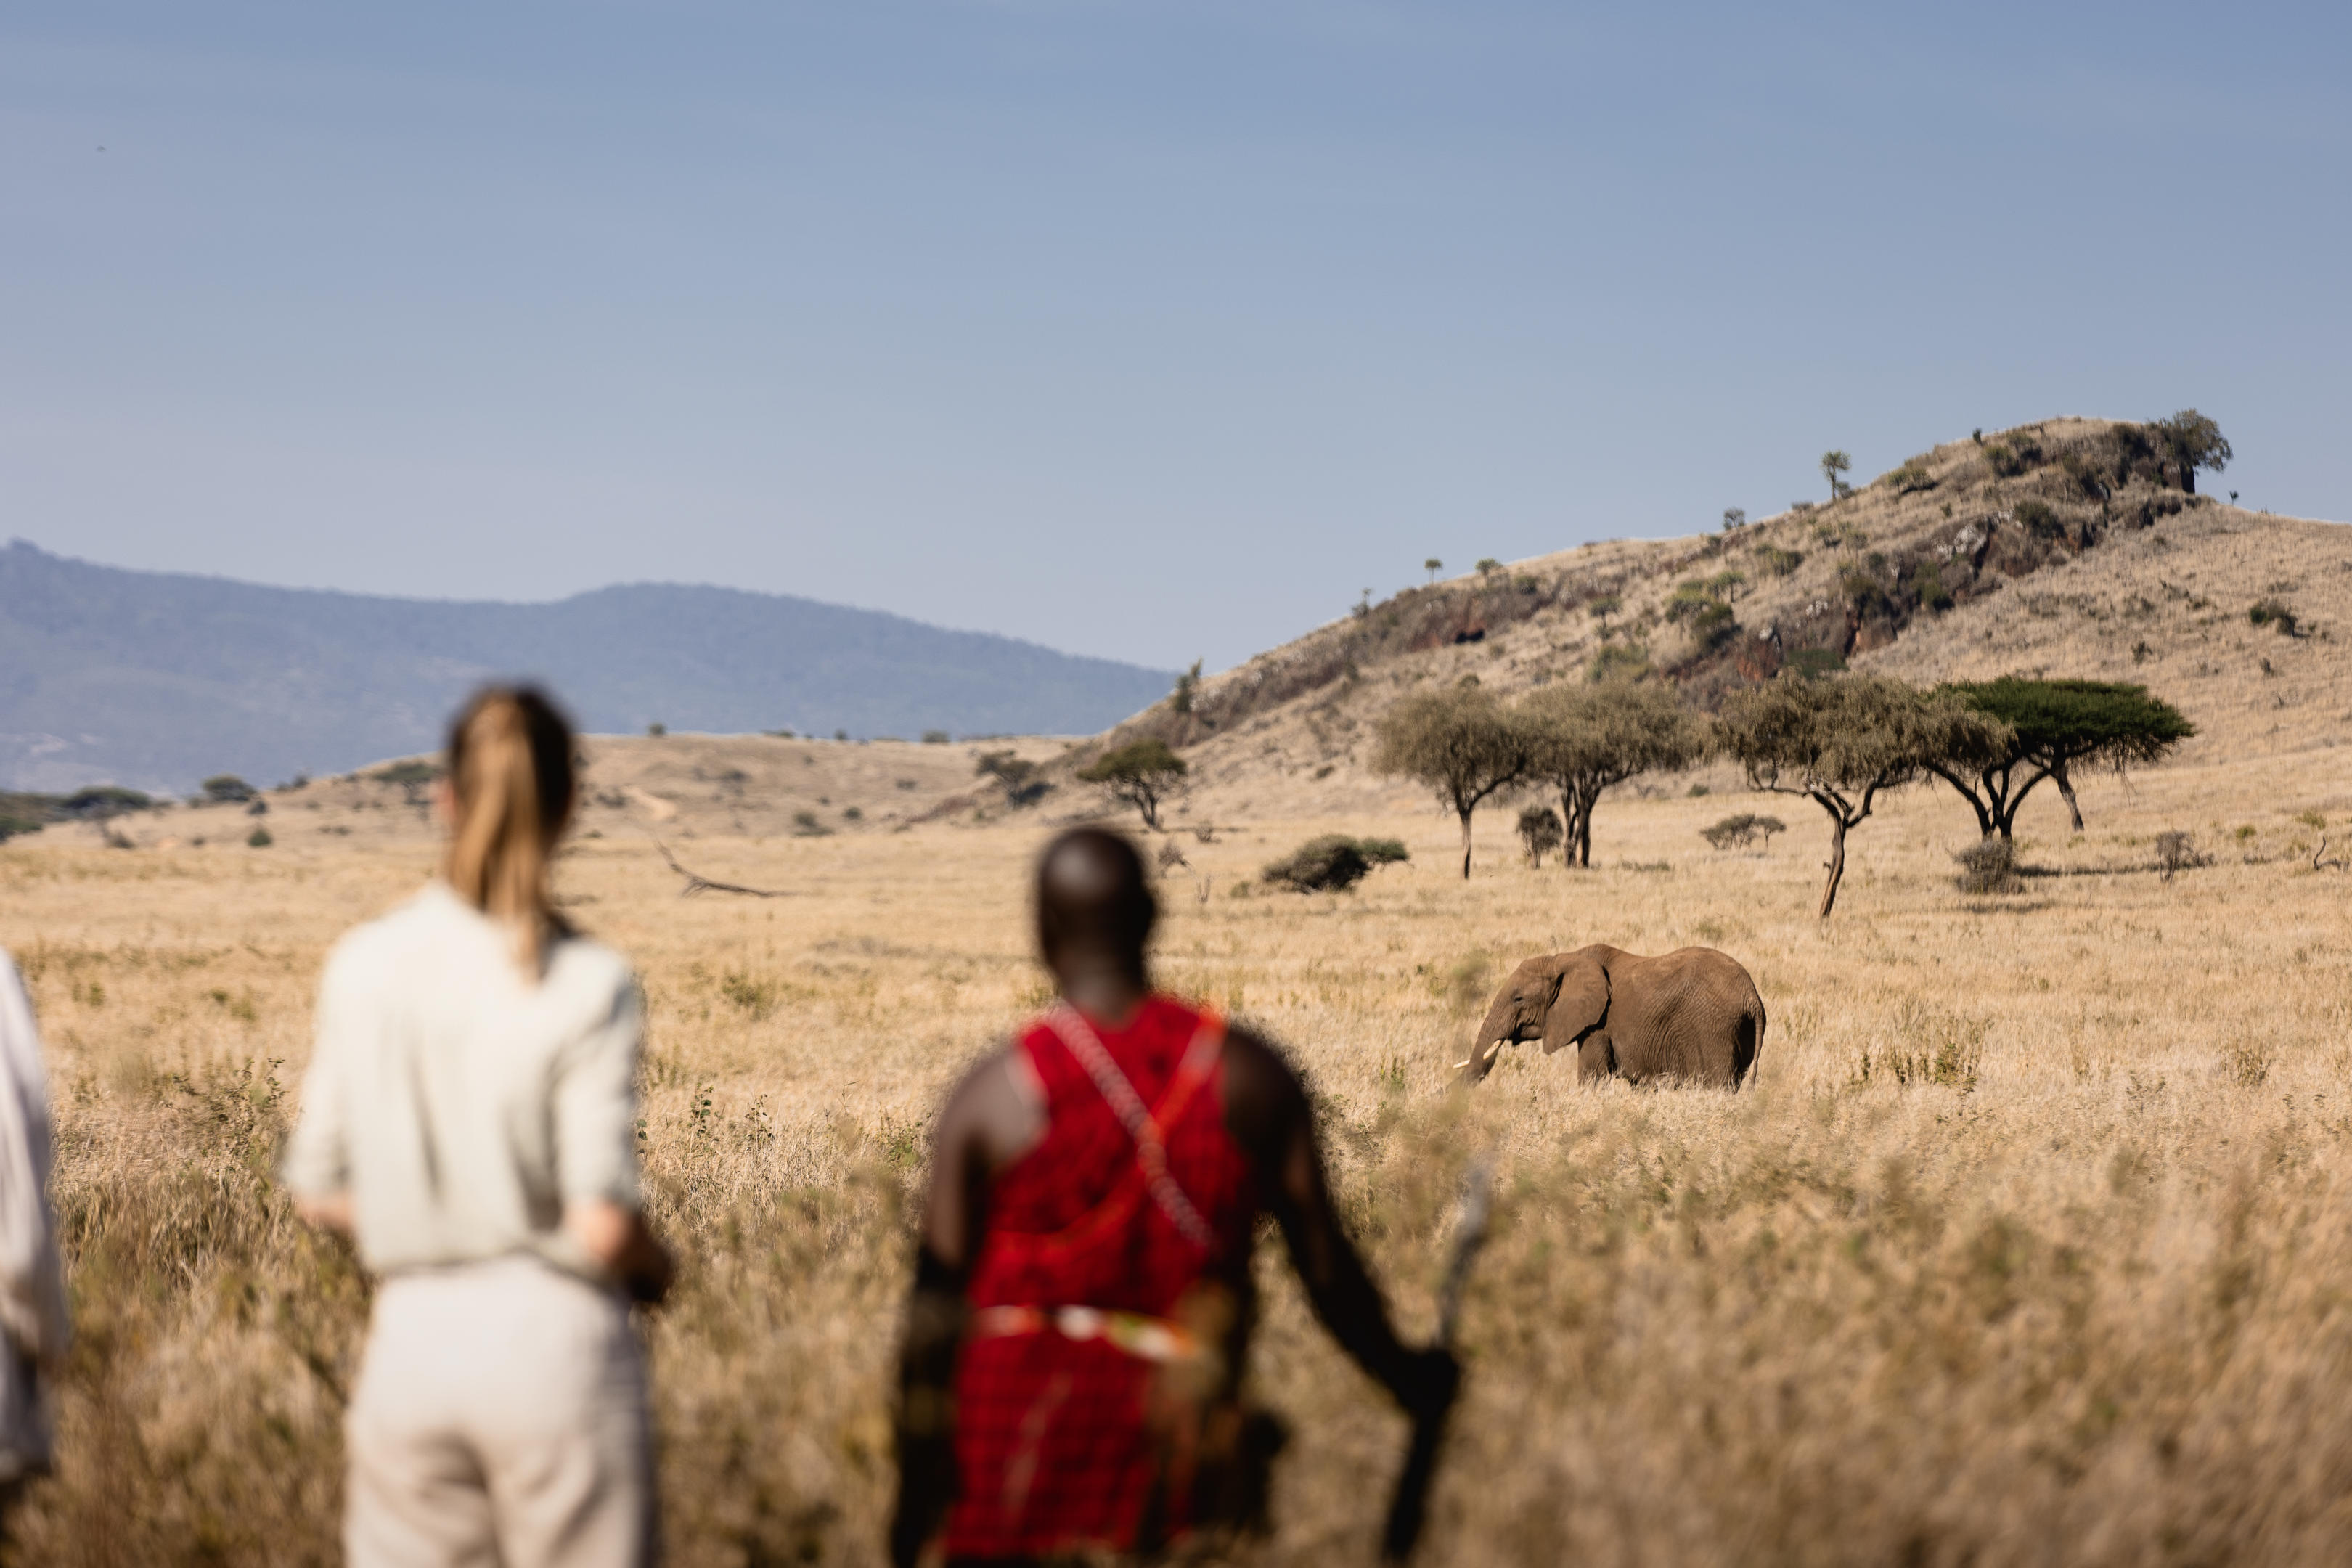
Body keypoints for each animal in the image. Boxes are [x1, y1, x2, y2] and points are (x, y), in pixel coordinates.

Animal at [1458, 945, 1764, 1088]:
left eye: (1518, 999)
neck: (1566, 958)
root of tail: (1753, 997)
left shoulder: (1598, 1025)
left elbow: (1591, 1076)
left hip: (1715, 1030)